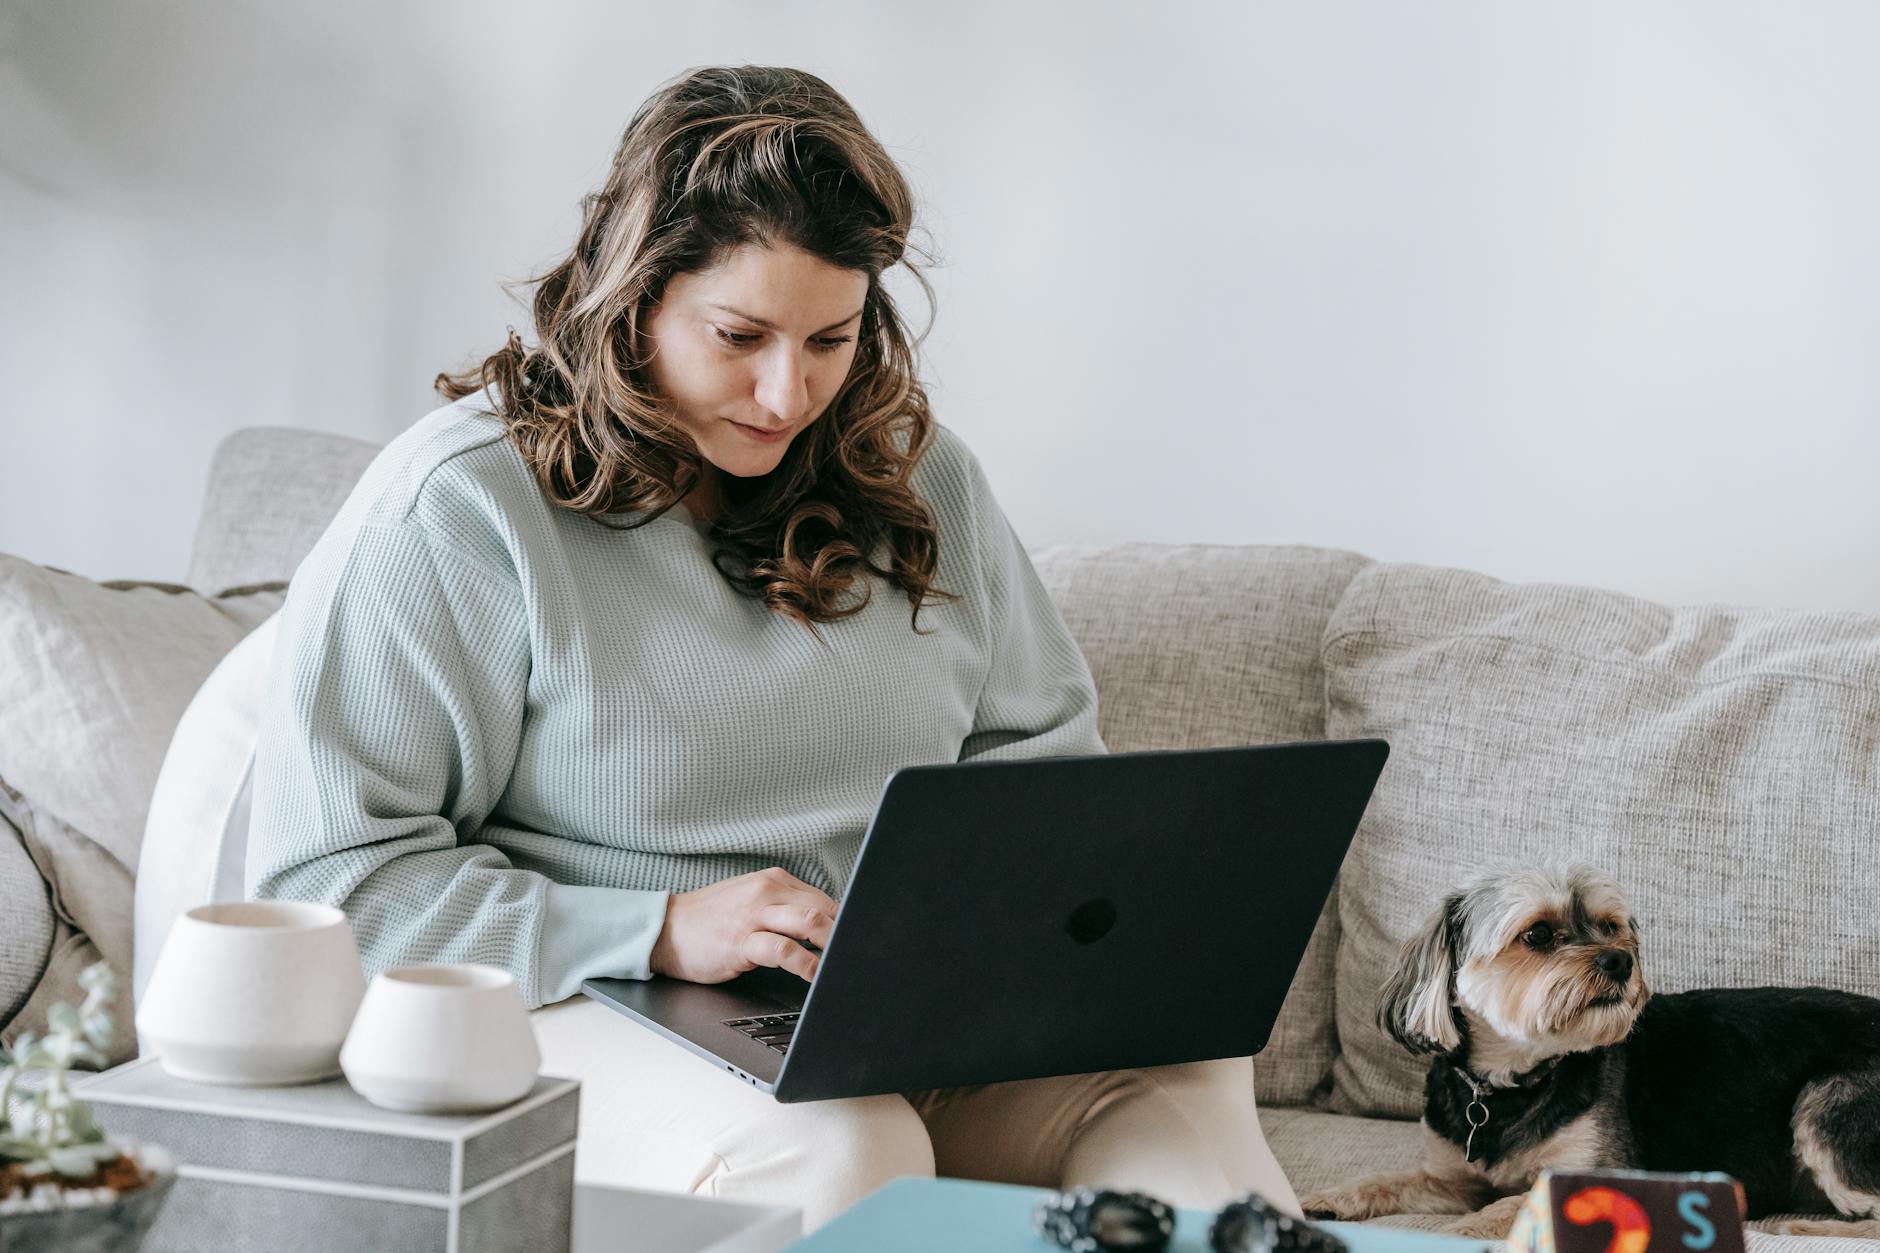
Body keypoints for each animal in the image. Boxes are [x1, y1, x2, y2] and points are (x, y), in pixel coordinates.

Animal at [1300, 865, 1880, 1234]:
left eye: (1610, 927)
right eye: (1537, 934)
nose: (1621, 960)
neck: (1512, 1083)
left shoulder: (1605, 1173)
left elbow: (1509, 1206)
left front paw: (1455, 1235)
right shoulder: (1453, 1178)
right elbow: (1390, 1181)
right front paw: (1328, 1199)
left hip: (1827, 1104)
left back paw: (1804, 1227)